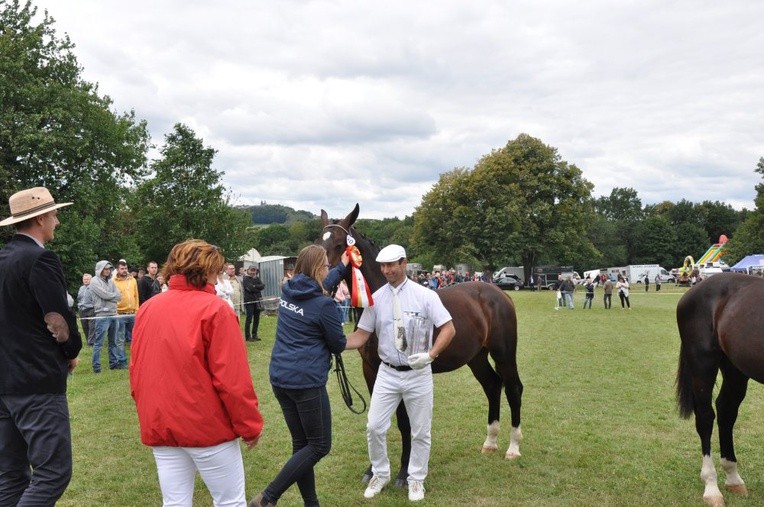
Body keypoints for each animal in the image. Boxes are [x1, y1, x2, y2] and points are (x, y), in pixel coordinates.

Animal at [320, 204, 524, 486]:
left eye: (340, 244)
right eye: (320, 242)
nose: (322, 281)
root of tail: (500, 293)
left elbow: (404, 422)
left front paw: (404, 473)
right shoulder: (371, 369)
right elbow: (377, 417)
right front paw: (372, 470)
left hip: (503, 353)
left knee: (513, 389)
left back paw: (512, 448)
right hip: (477, 358)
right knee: (493, 386)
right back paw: (490, 443)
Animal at [676, 274, 764, 507]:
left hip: (735, 368)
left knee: (726, 411)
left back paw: (733, 478)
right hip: (703, 364)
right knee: (706, 417)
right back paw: (711, 487)